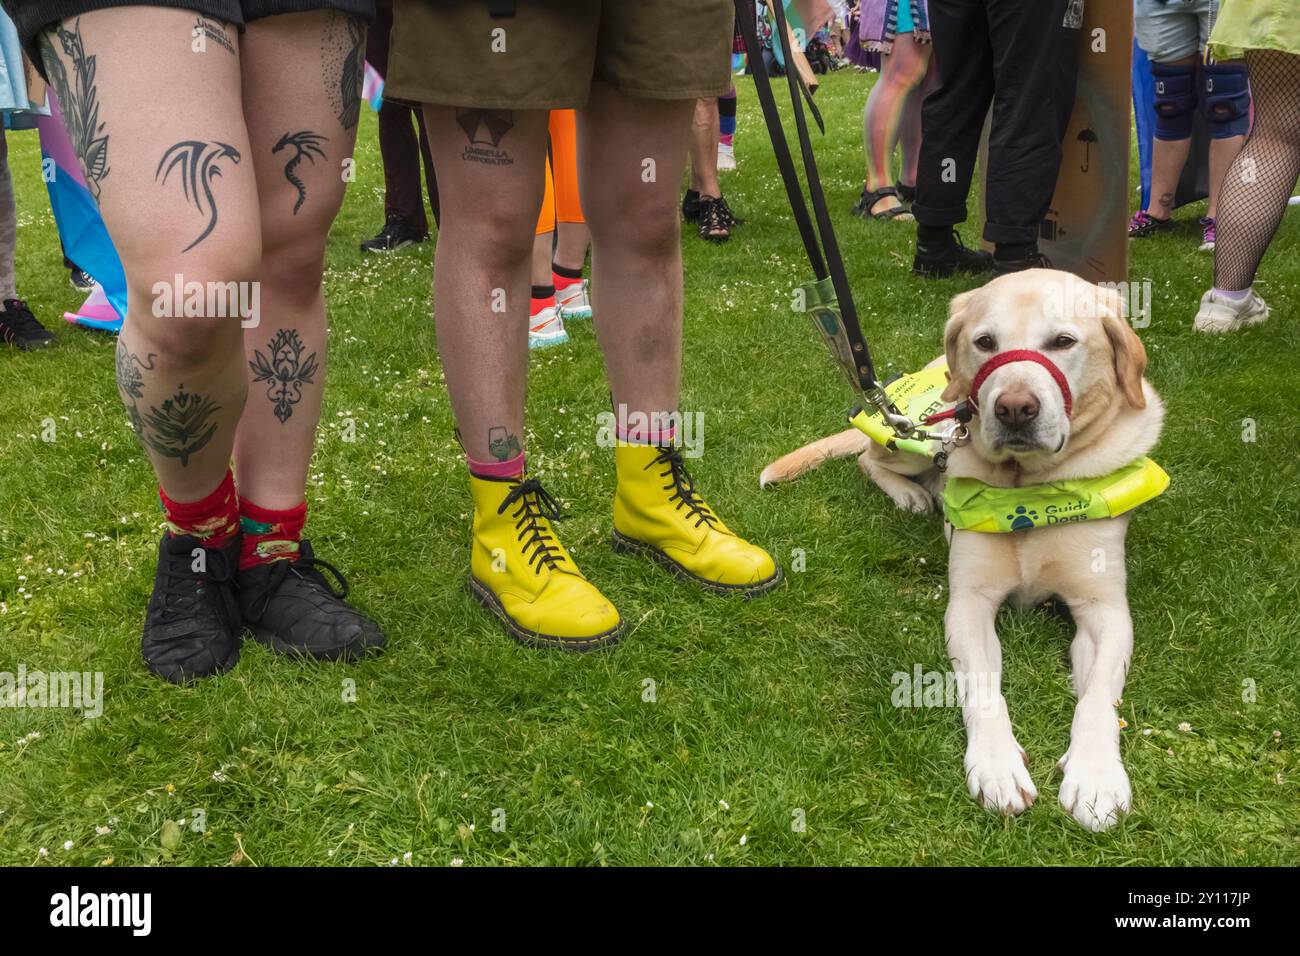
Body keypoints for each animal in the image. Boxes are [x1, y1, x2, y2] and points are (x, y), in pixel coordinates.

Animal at [759, 269, 1164, 832]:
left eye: (1063, 341)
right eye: (985, 342)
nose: (1014, 409)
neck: (1028, 492)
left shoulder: (1104, 610)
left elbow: (1099, 697)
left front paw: (1097, 776)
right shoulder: (969, 605)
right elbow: (982, 689)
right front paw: (996, 767)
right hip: (919, 442)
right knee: (869, 459)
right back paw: (911, 495)